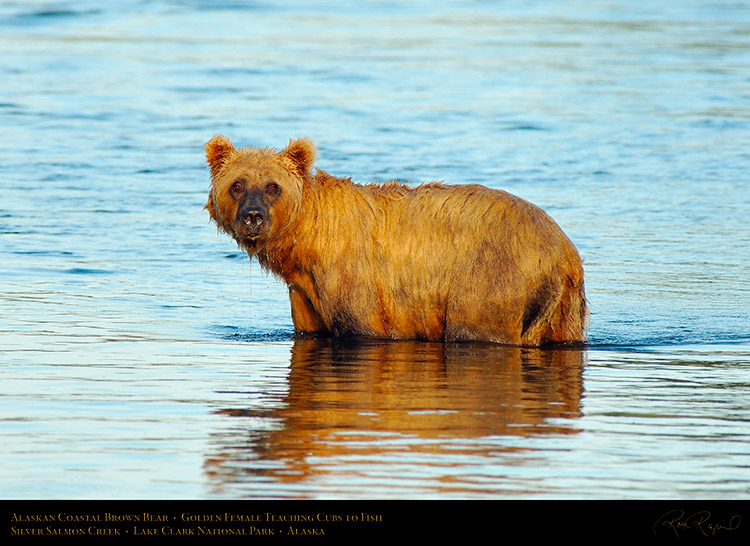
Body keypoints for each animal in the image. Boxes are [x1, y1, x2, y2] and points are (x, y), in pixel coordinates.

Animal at [207, 135, 592, 344]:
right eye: (237, 184)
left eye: (273, 186)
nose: (252, 216)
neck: (306, 240)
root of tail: (566, 253)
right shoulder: (305, 290)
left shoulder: (357, 279)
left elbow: (364, 327)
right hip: (565, 308)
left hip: (491, 278)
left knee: (476, 328)